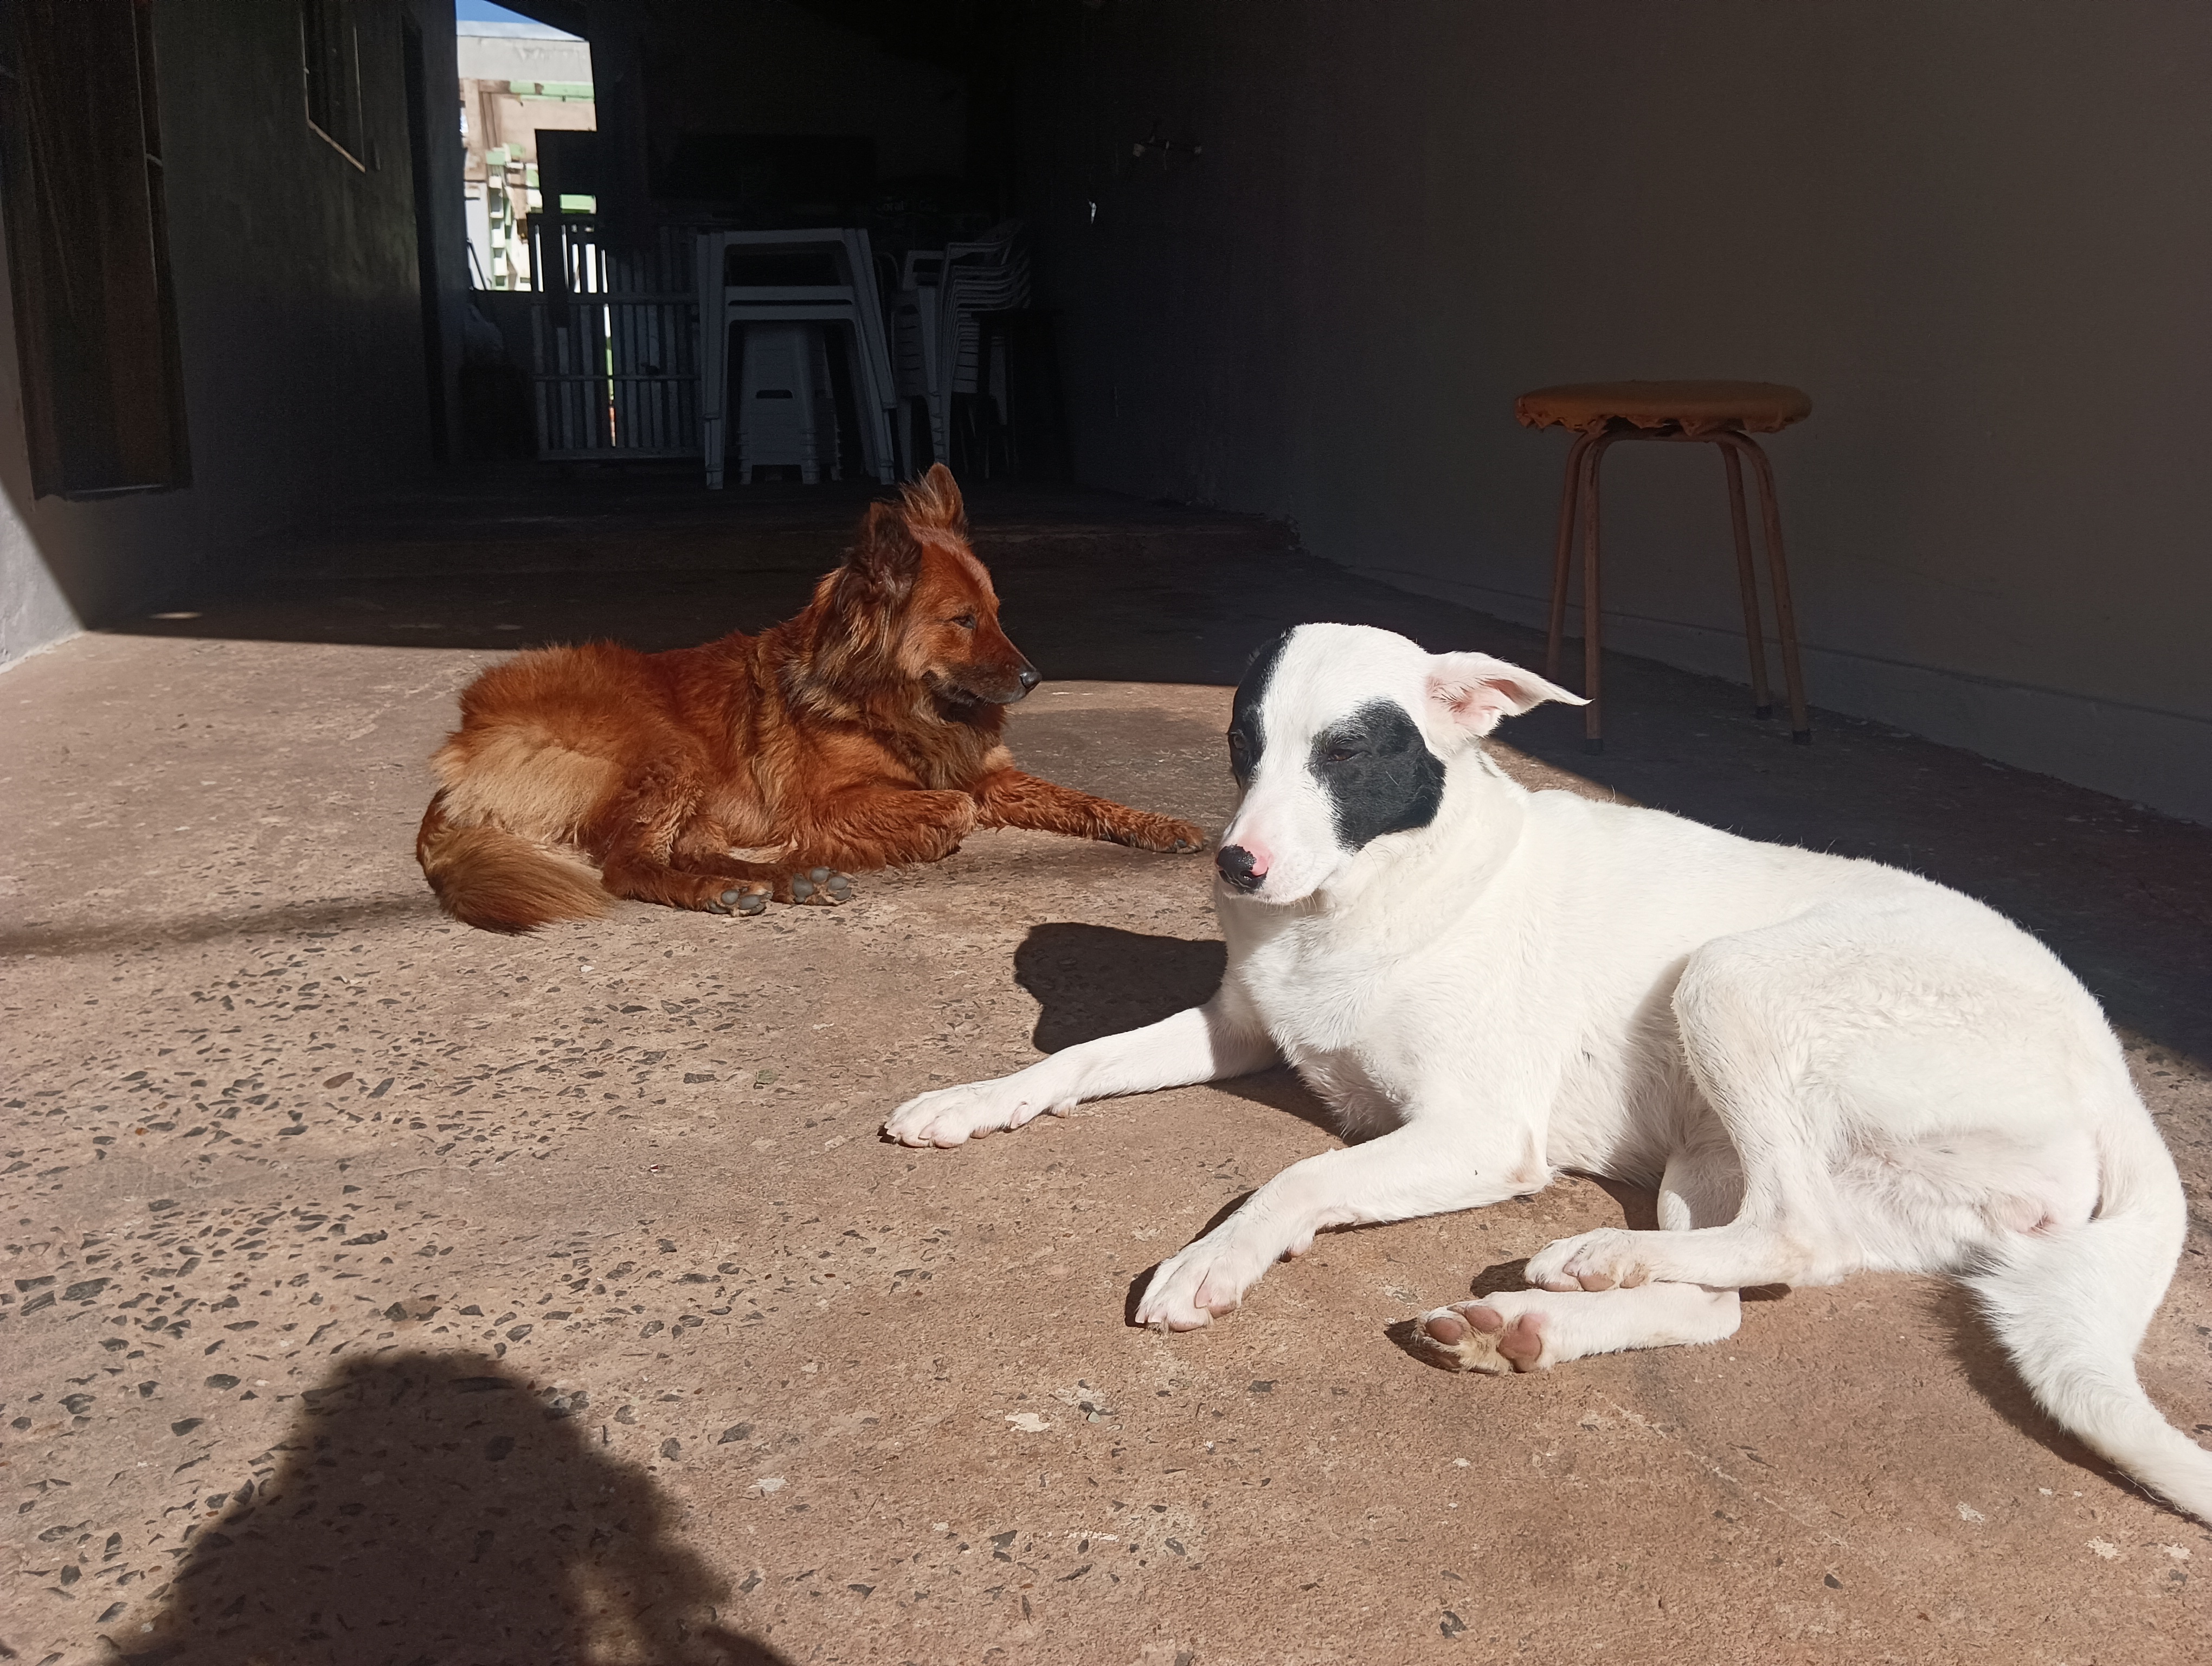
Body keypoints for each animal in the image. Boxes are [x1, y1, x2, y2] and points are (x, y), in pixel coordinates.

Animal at [417, 465, 1207, 933]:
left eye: (995, 613)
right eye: (962, 621)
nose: (1035, 679)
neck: (894, 702)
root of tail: (462, 743)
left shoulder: (990, 774)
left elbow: (1082, 798)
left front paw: (1157, 823)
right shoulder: (824, 802)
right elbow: (953, 809)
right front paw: (896, 838)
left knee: (683, 846)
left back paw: (786, 880)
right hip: (664, 748)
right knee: (627, 864)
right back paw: (733, 888)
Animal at [885, 621, 2211, 1523]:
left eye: (1348, 756)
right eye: (1242, 746)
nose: (1235, 867)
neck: (1367, 895)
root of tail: (2114, 1072)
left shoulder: (1476, 1132)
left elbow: (1298, 1183)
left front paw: (1217, 1260)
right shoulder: (1238, 1029)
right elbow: (1084, 1056)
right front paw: (972, 1101)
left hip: (1730, 982)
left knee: (1793, 1236)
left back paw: (1582, 1266)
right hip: (1704, 1151)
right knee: (1735, 1293)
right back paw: (1536, 1321)